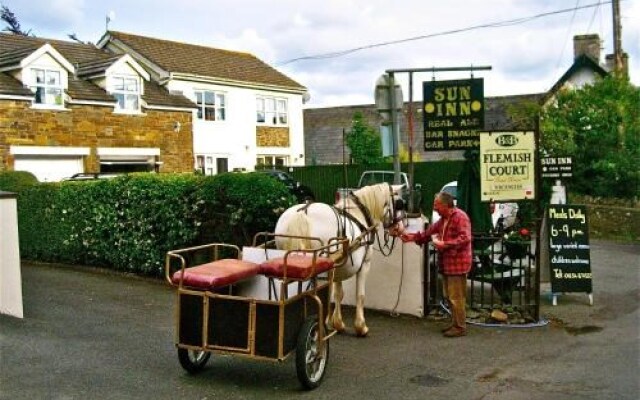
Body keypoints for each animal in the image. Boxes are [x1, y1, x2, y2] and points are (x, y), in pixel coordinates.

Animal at [272, 183, 402, 336]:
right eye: (399, 203)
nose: (398, 227)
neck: (359, 215)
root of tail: (302, 212)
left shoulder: (338, 267)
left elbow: (338, 294)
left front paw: (337, 323)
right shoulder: (364, 265)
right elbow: (360, 295)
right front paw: (360, 326)